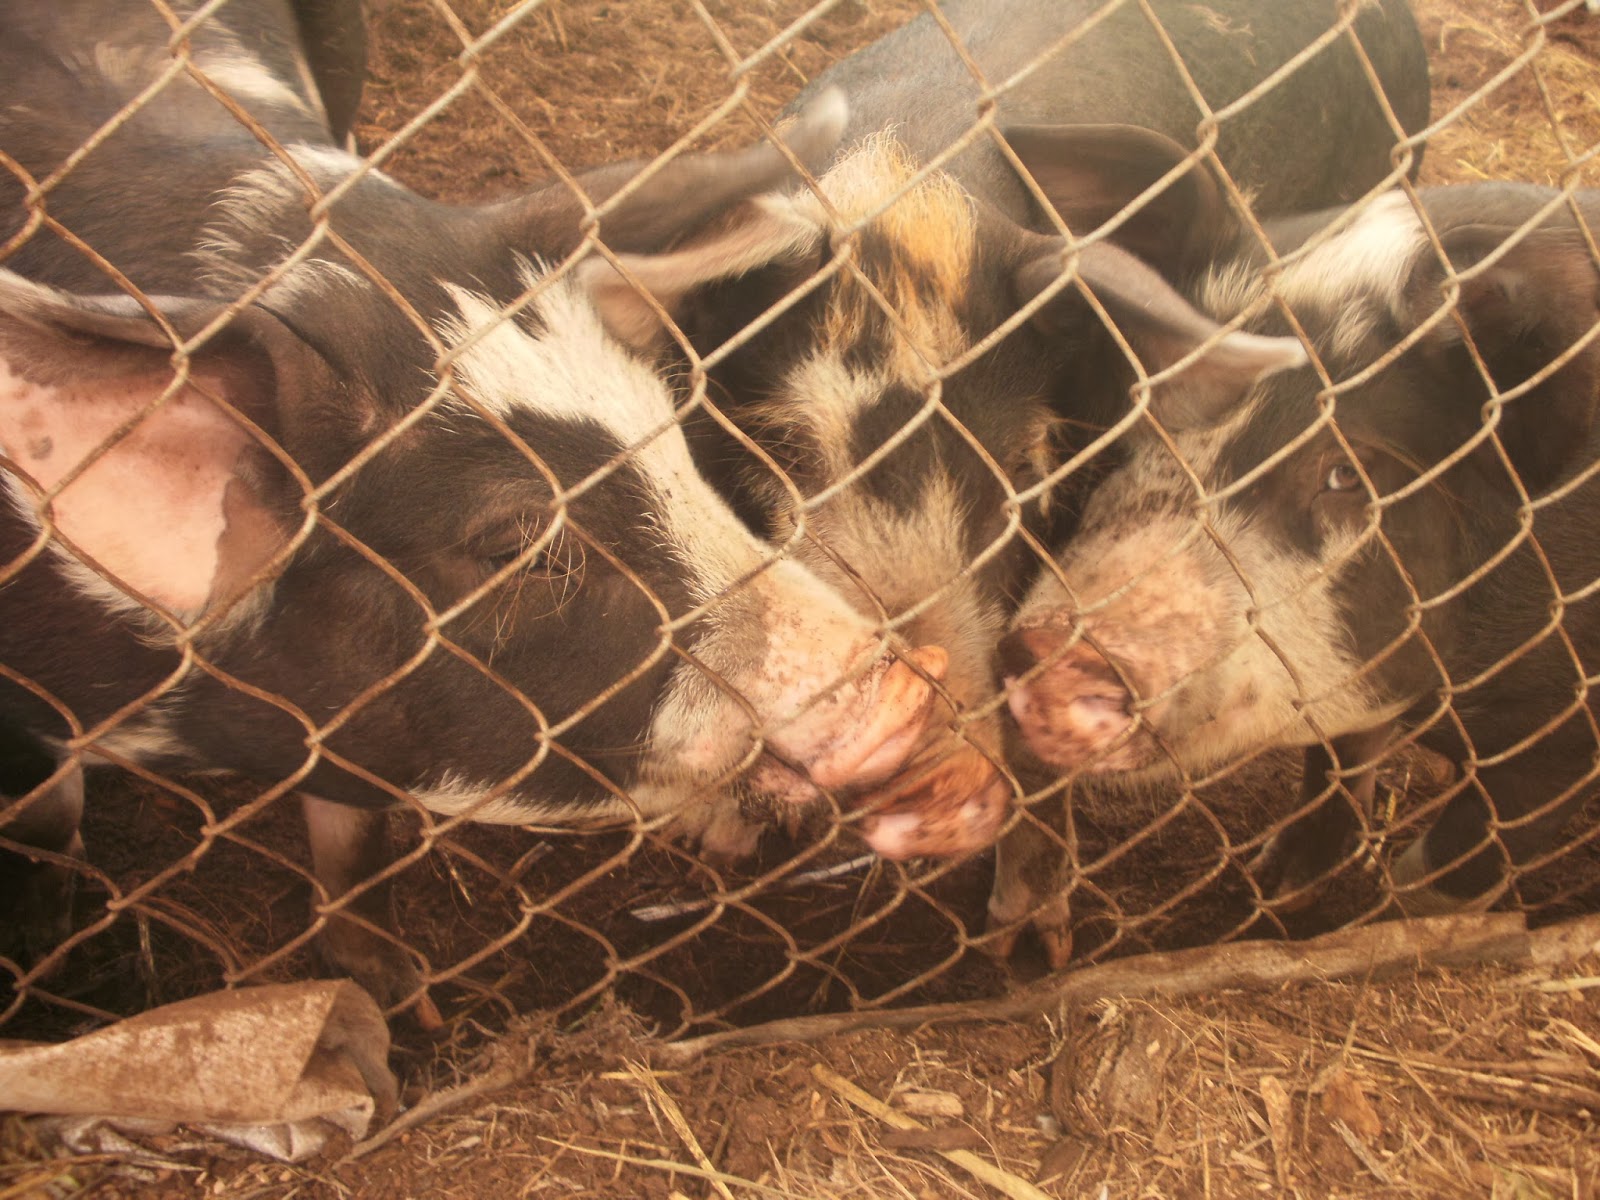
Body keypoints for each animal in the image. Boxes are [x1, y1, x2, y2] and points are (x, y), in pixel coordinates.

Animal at [0, 0, 987, 1013]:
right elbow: (41, 820)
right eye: (518, 544)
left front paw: (406, 1004)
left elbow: (352, 839)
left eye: (672, 433)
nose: (913, 677)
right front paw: (45, 967)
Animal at [575, 0, 1429, 961]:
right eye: (779, 452)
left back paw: (1291, 885)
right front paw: (712, 843)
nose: (935, 771)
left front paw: (1023, 955)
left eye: (1021, 474)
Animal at [1002, 182, 1600, 920]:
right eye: (1129, 418)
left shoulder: (1568, 735)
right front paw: (1277, 886)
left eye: (1345, 472)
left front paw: (1378, 920)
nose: (1053, 645)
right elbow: (1334, 763)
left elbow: (1450, 866)